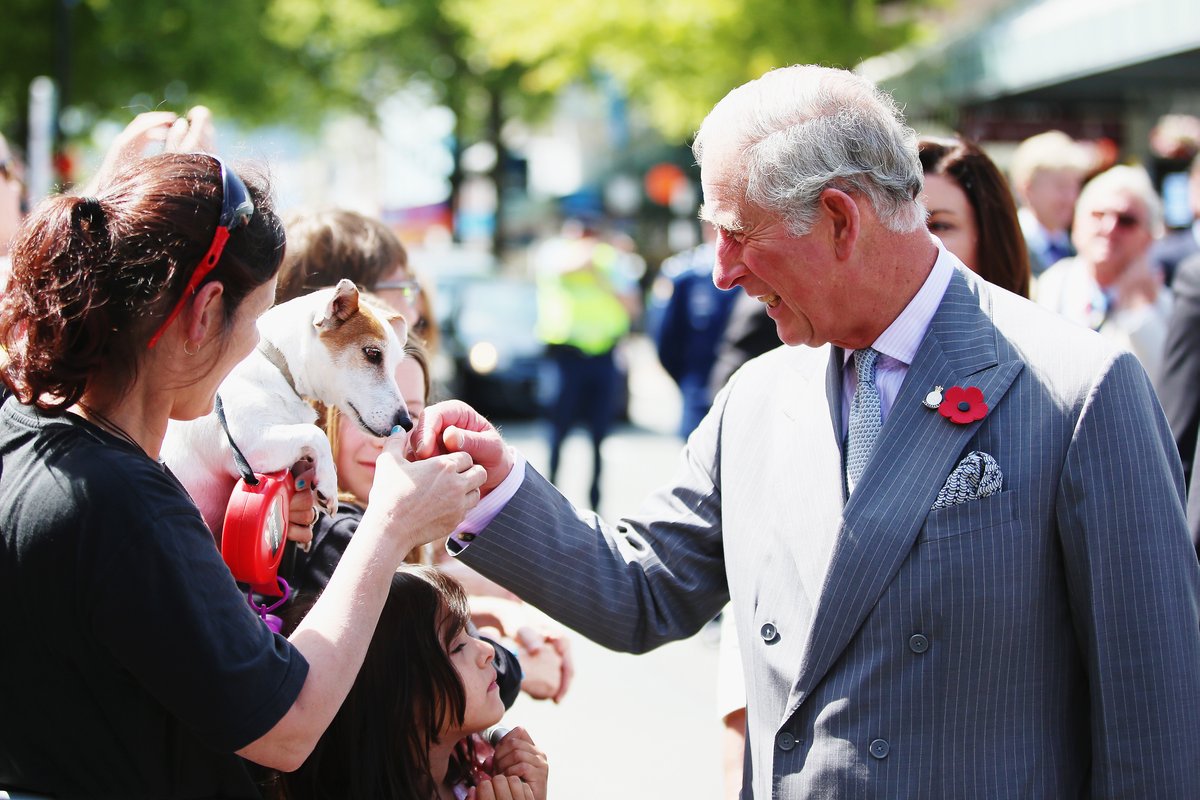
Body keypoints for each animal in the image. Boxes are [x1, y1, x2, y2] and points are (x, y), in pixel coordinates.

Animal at [163, 278, 412, 534]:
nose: (406, 422)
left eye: (395, 365)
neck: (279, 365)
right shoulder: (248, 444)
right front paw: (329, 483)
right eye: (372, 354)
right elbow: (315, 434)